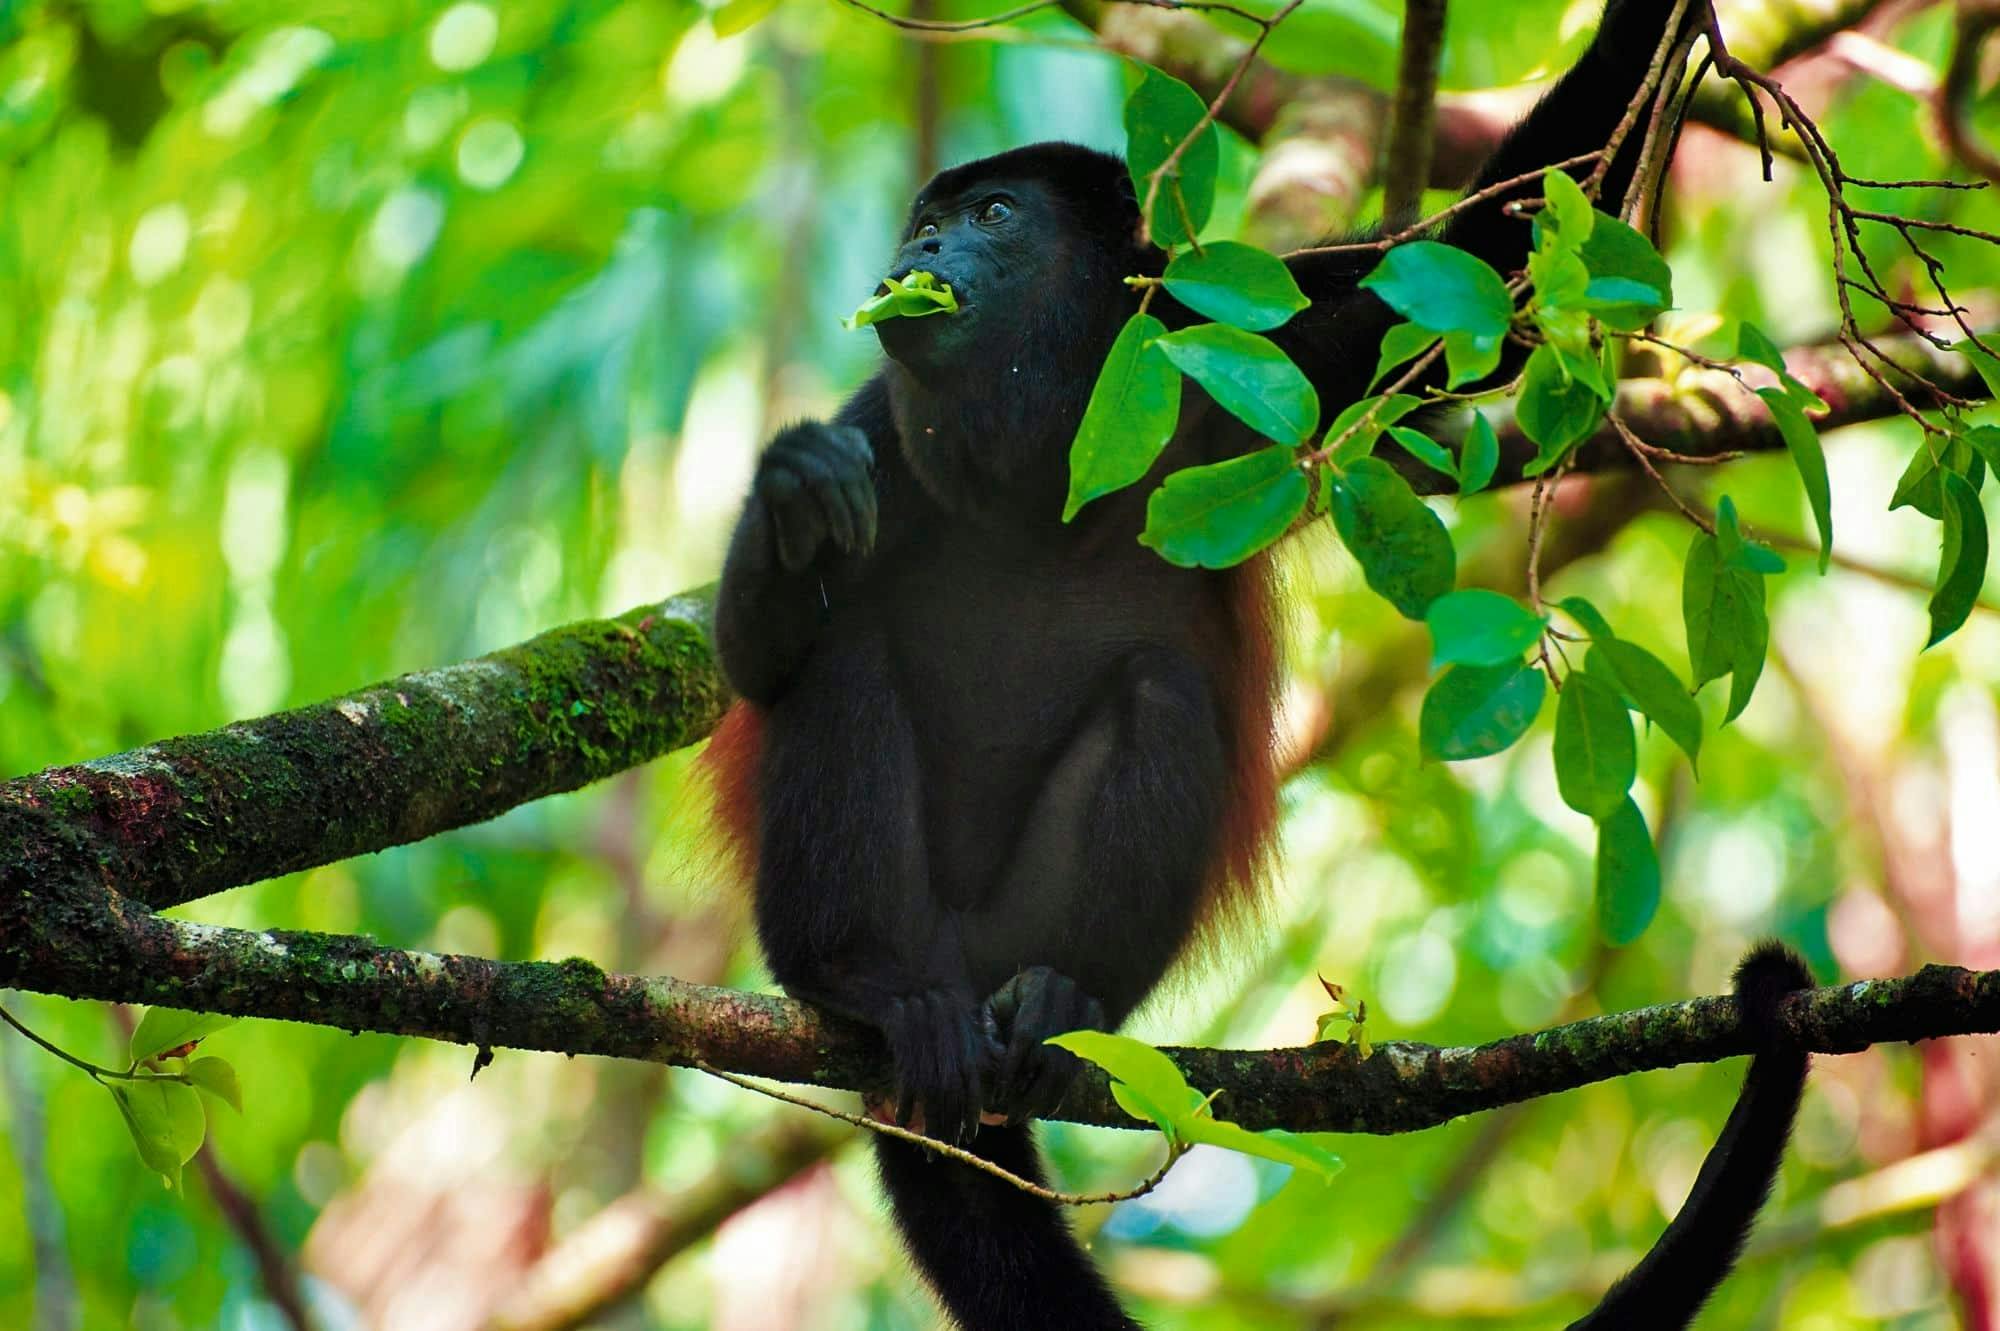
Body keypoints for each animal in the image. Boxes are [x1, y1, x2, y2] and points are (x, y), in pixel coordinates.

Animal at [708, 5, 1816, 1319]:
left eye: (991, 215)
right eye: (924, 224)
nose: (919, 247)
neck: (1043, 438)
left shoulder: (1249, 338)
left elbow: (1473, 282)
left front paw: (1653, 26)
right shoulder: (882, 421)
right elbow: (757, 654)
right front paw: (791, 485)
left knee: (1160, 693)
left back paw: (1060, 1002)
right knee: (845, 665)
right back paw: (869, 980)